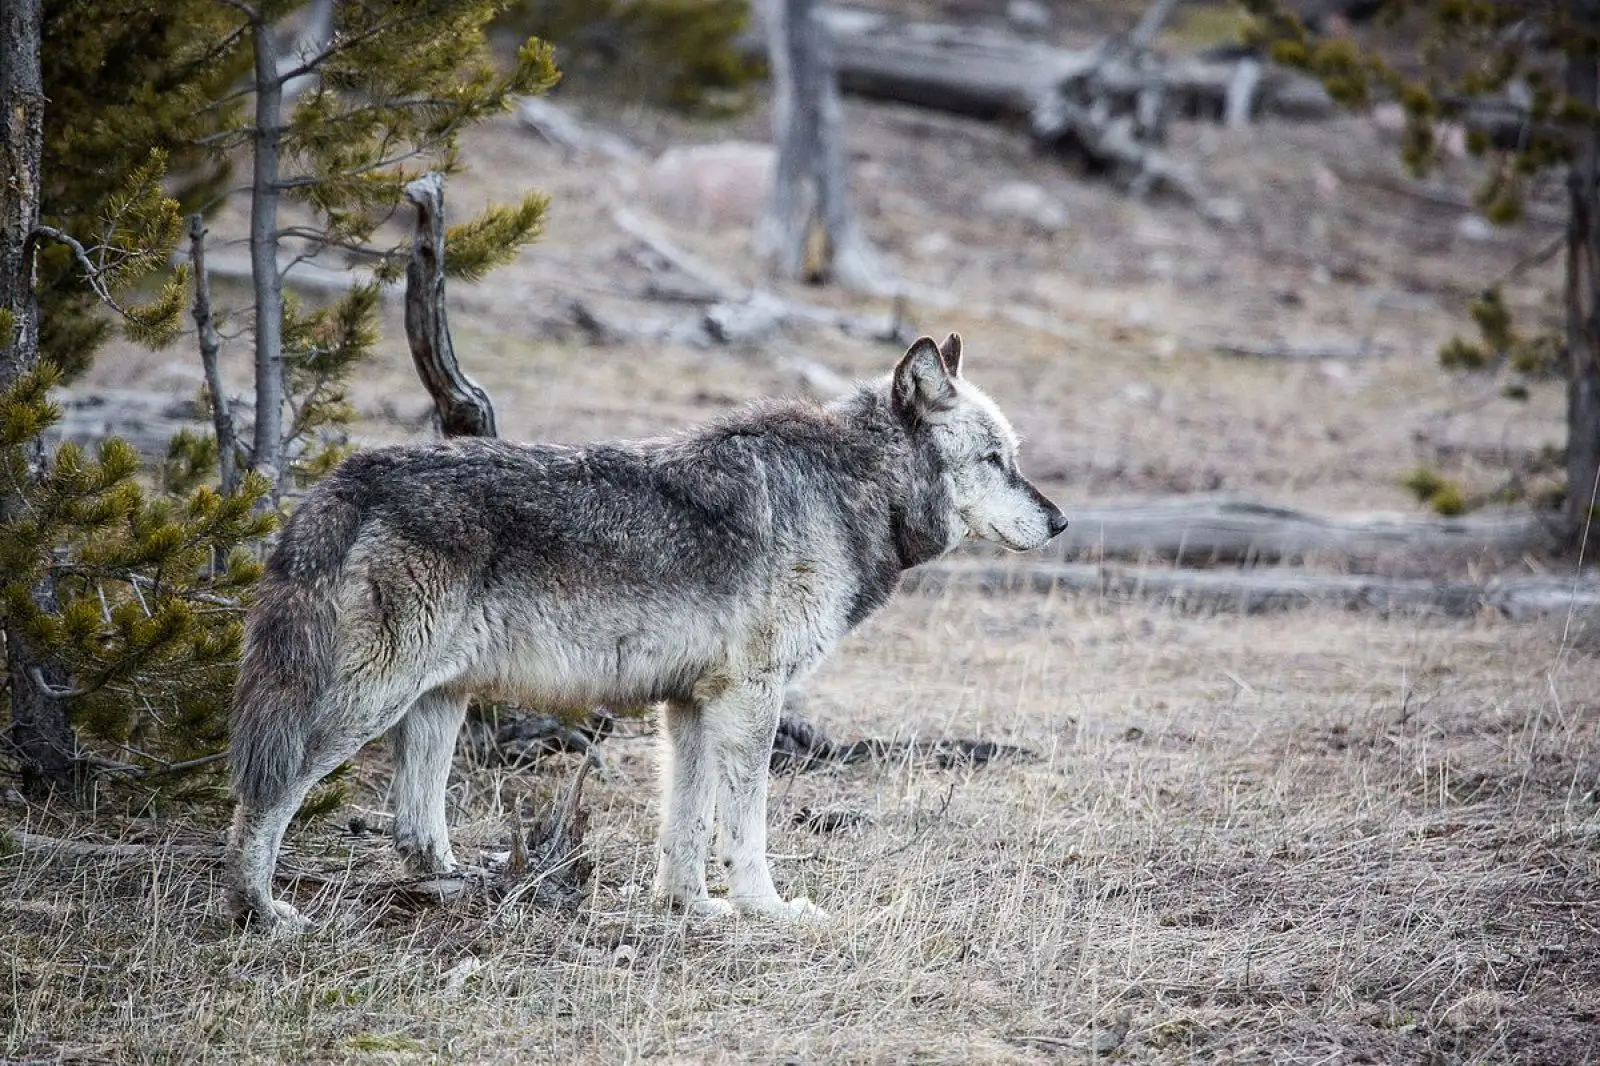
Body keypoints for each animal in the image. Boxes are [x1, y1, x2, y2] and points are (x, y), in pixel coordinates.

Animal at [225, 336, 1068, 928]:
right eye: (994, 459)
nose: (1060, 521)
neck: (850, 487)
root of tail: (344, 478)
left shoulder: (690, 704)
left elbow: (684, 826)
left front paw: (691, 907)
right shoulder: (752, 698)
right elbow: (745, 826)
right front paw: (768, 909)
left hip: (438, 704)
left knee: (413, 829)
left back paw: (462, 890)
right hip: (368, 705)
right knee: (266, 793)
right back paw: (260, 911)